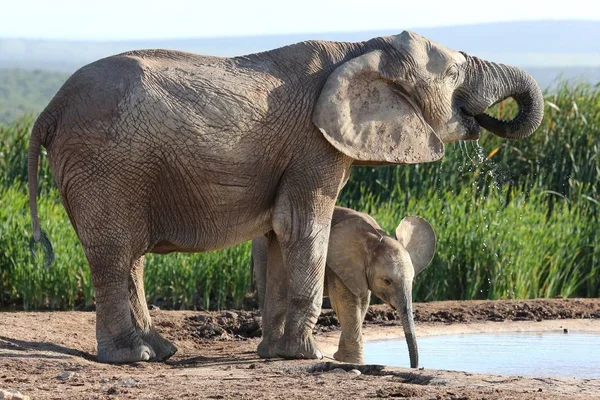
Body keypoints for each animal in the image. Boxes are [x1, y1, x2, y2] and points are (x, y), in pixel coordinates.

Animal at [252, 208, 436, 368]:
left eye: (412, 281)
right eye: (387, 281)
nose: (415, 367)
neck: (375, 236)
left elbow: (362, 302)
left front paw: (343, 358)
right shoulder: (338, 262)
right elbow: (345, 301)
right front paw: (351, 361)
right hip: (261, 247)